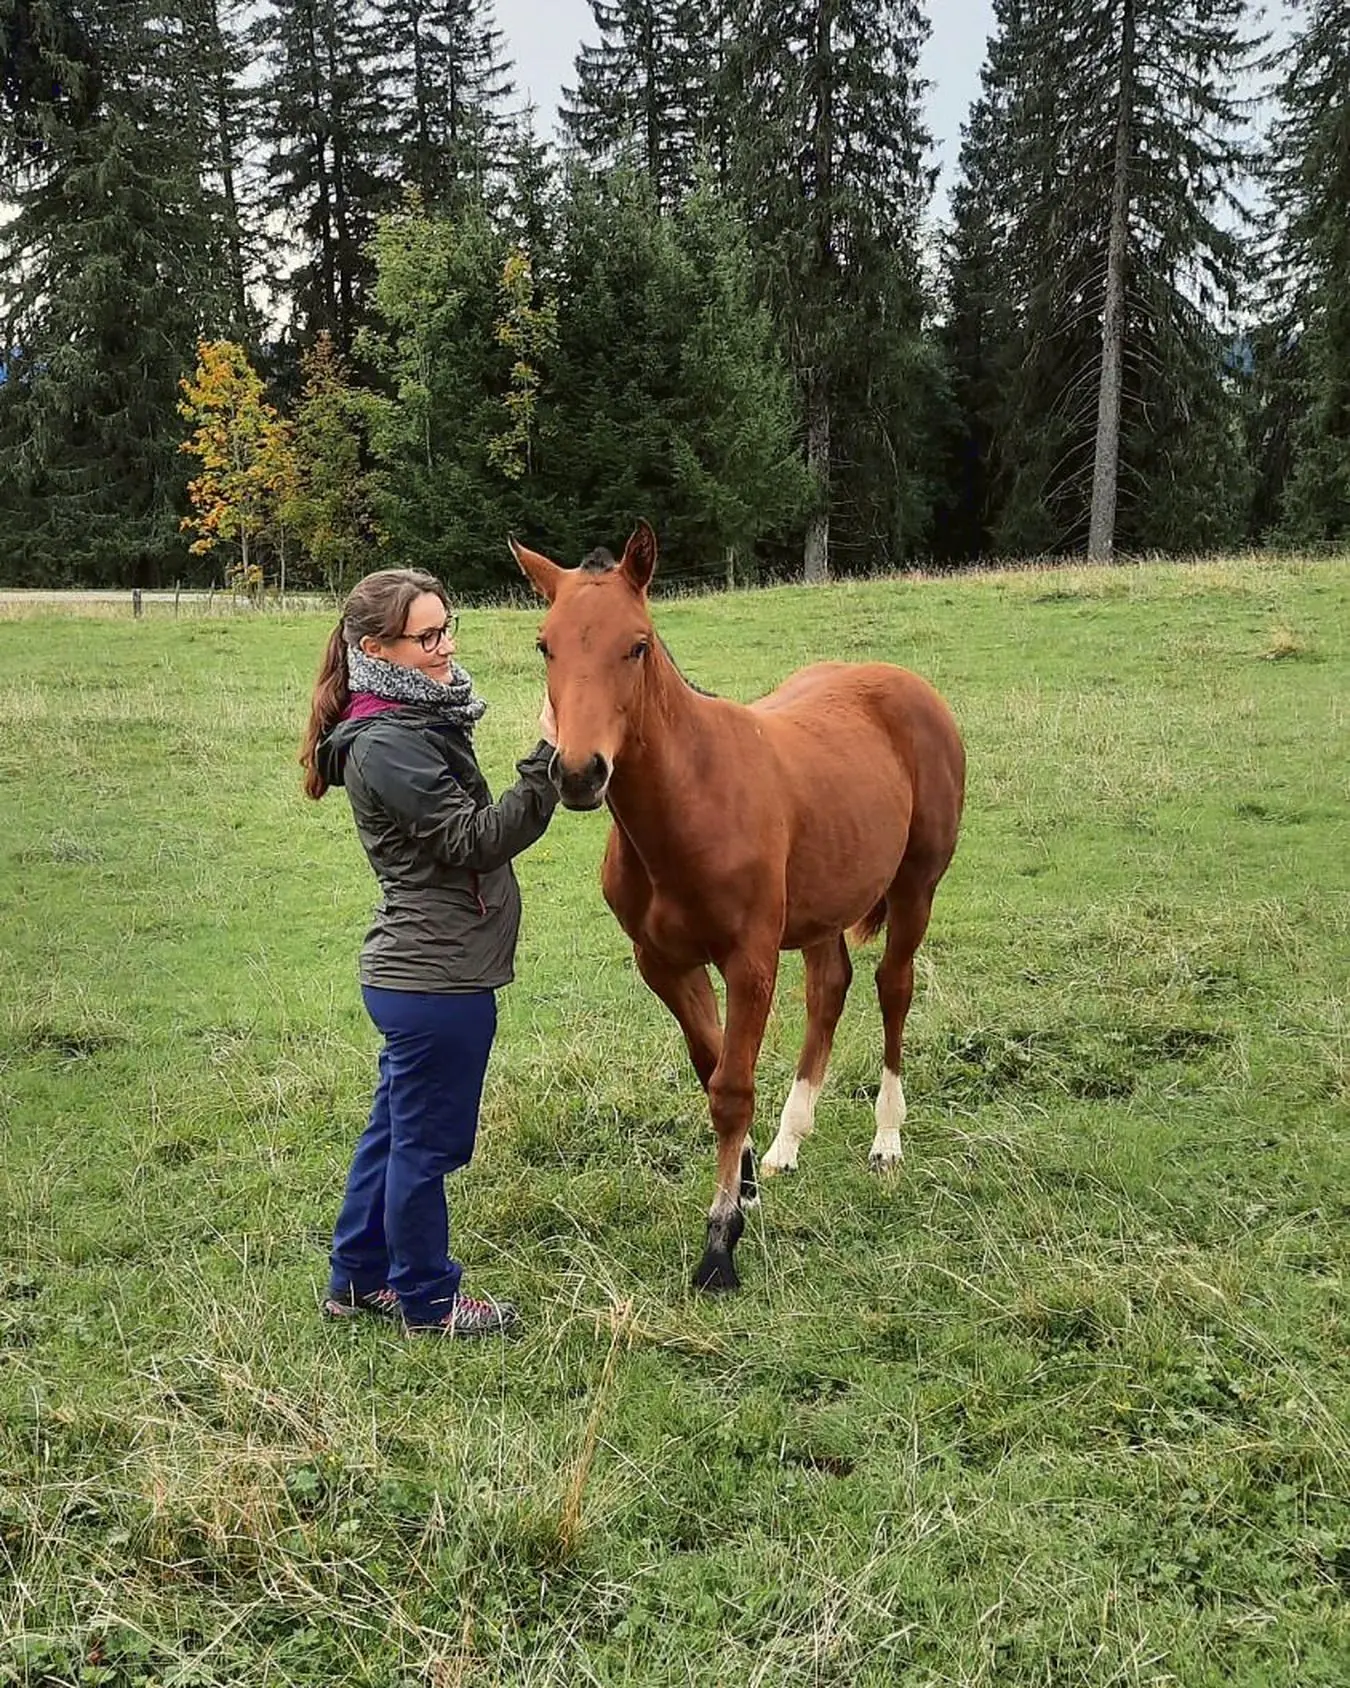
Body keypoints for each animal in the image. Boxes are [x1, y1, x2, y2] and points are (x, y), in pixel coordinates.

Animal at [511, 521, 966, 1292]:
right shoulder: (663, 963)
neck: (690, 803)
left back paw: (887, 1138)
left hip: (915, 888)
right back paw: (788, 1142)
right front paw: (747, 1179)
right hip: (819, 906)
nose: (577, 773)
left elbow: (730, 1086)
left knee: (893, 988)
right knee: (830, 988)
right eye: (546, 644)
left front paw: (721, 1242)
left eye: (637, 644)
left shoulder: (749, 960)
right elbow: (712, 1064)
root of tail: (907, 684)